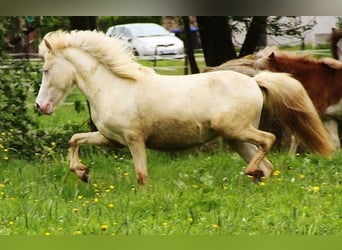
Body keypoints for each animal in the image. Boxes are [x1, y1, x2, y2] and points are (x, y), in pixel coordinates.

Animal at [34, 30, 334, 185]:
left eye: (46, 70)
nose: (40, 107)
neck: (114, 87)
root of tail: (255, 81)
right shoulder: (111, 139)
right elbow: (75, 139)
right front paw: (82, 173)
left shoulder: (134, 139)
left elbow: (141, 175)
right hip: (236, 139)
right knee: (268, 166)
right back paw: (255, 182)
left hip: (236, 130)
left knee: (269, 140)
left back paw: (250, 173)